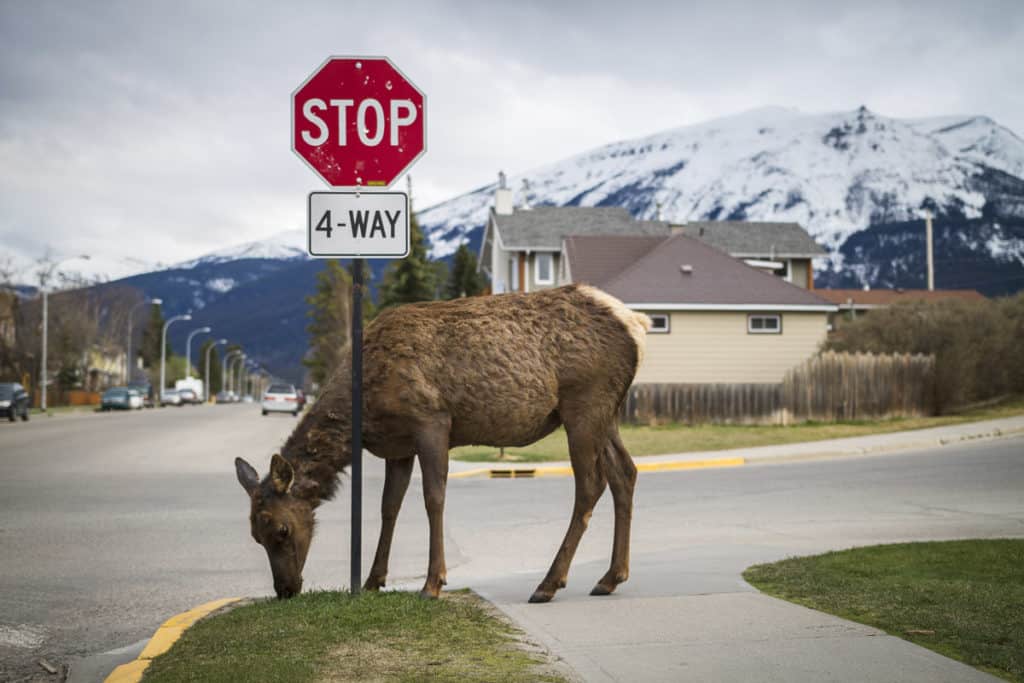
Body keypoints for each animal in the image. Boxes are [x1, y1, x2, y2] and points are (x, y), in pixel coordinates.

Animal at [235, 282, 647, 602]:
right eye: (254, 535)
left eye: (281, 529)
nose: (286, 590)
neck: (364, 413)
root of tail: (635, 325)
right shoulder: (398, 446)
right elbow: (389, 507)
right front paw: (372, 581)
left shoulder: (431, 420)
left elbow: (433, 498)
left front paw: (433, 583)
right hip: (606, 413)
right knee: (625, 473)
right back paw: (610, 577)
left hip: (584, 404)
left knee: (591, 485)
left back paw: (549, 583)